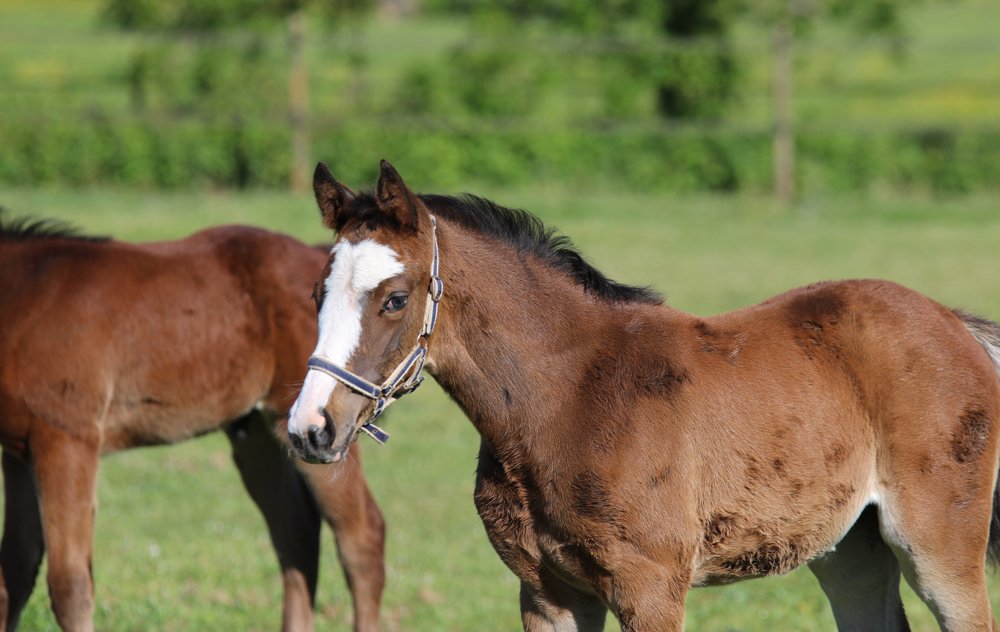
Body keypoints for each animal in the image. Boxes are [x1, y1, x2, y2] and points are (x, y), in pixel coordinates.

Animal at [0, 214, 385, 632]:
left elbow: (69, 584)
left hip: (323, 428)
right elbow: (14, 574)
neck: (23, 303)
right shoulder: (19, 452)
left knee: (362, 534)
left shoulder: (67, 438)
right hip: (261, 431)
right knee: (295, 534)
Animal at [286, 159, 1000, 631]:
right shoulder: (545, 592)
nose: (311, 427)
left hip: (936, 548)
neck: (567, 398)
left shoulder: (650, 586)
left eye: (394, 299)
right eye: (317, 293)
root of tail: (953, 321)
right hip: (849, 549)